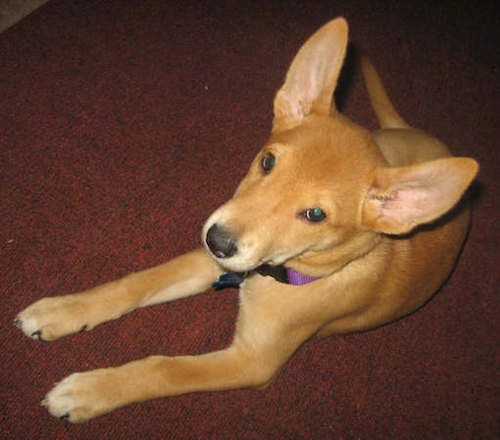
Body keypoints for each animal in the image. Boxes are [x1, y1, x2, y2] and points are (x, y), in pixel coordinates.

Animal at [14, 18, 476, 422]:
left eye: (315, 215)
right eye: (268, 161)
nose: (217, 241)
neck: (287, 273)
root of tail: (421, 134)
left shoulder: (251, 362)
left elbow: (165, 368)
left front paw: (88, 391)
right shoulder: (216, 262)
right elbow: (136, 282)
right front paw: (62, 311)